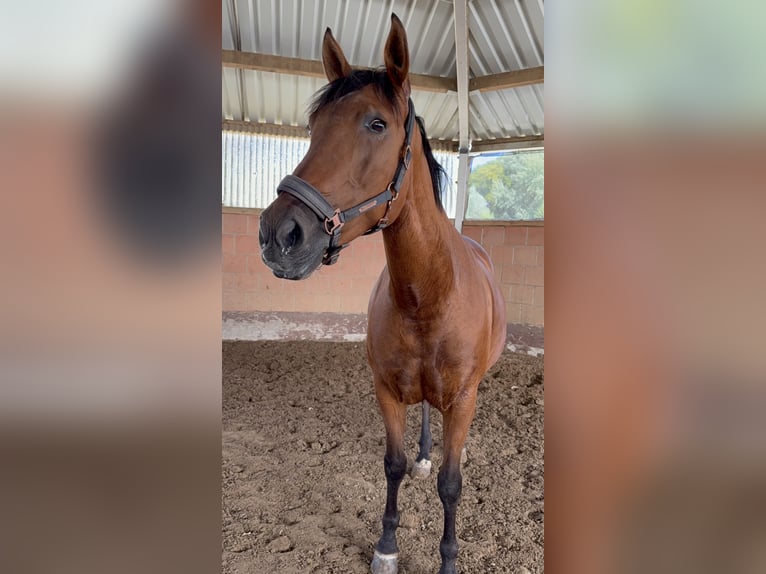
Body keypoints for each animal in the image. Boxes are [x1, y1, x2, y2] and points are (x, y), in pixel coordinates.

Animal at [258, 14, 507, 574]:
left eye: (376, 124)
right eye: (314, 128)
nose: (278, 234)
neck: (428, 296)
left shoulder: (463, 400)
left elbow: (452, 485)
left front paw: (448, 559)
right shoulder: (387, 391)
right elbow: (392, 465)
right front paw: (387, 545)